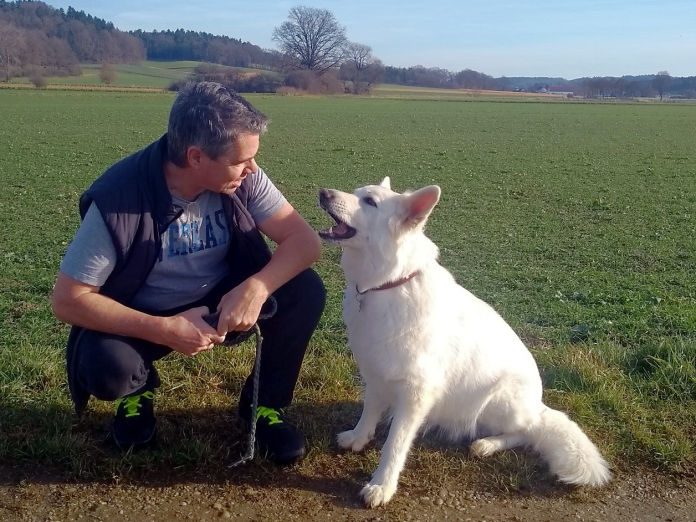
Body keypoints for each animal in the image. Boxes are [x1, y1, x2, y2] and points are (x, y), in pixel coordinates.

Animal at [316, 179, 608, 508]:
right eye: (356, 192)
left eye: (370, 201)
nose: (323, 193)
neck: (389, 283)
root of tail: (538, 405)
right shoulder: (376, 371)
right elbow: (369, 411)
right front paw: (358, 437)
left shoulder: (416, 393)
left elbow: (395, 444)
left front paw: (382, 485)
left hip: (498, 399)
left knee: (526, 432)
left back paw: (487, 444)